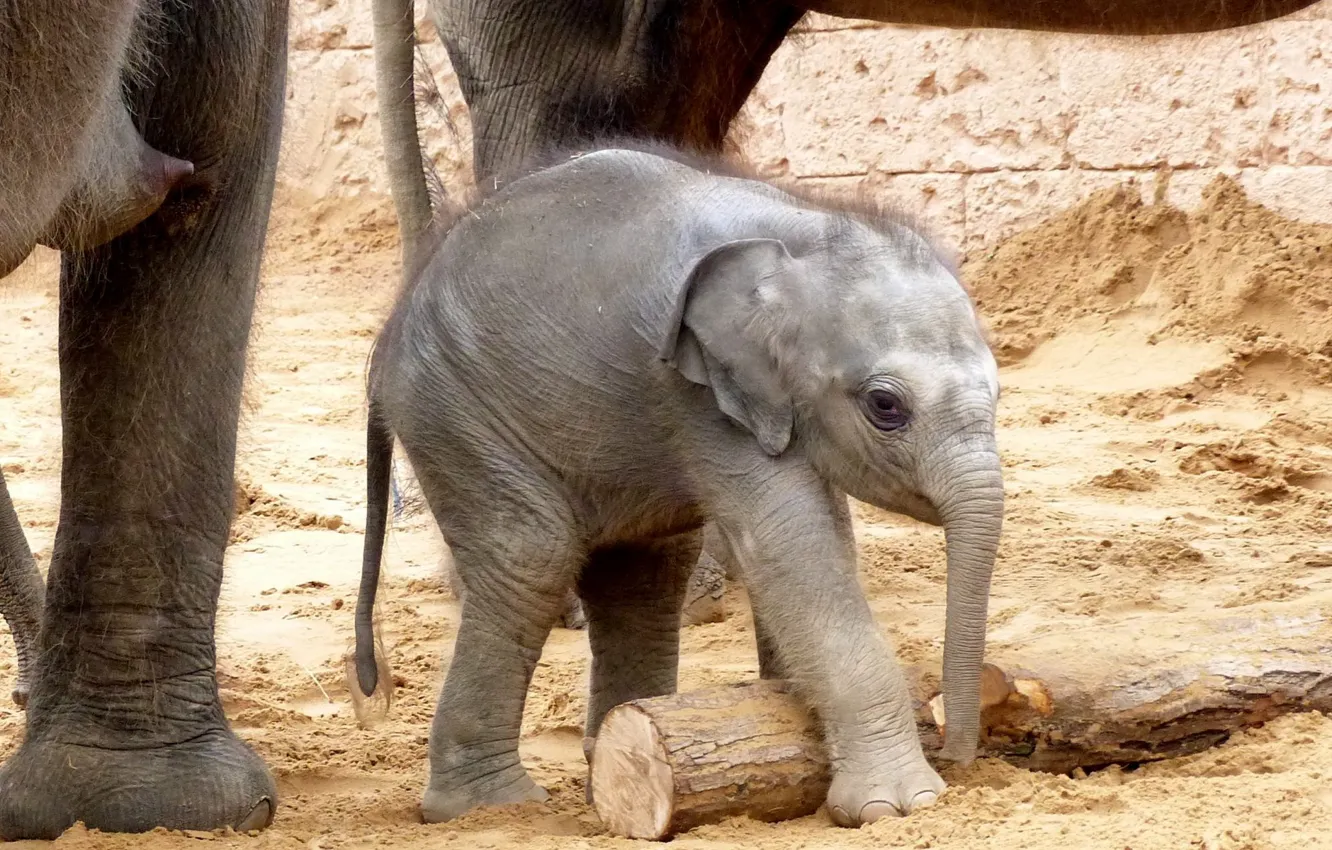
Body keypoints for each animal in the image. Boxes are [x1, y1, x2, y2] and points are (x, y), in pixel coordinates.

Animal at [353, 143, 1005, 826]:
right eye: (886, 406)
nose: (961, 757)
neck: (807, 225)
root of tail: (388, 339)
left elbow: (816, 540)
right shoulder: (699, 395)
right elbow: (792, 547)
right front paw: (899, 806)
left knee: (645, 572)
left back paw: (610, 758)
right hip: (458, 414)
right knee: (532, 554)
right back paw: (491, 808)